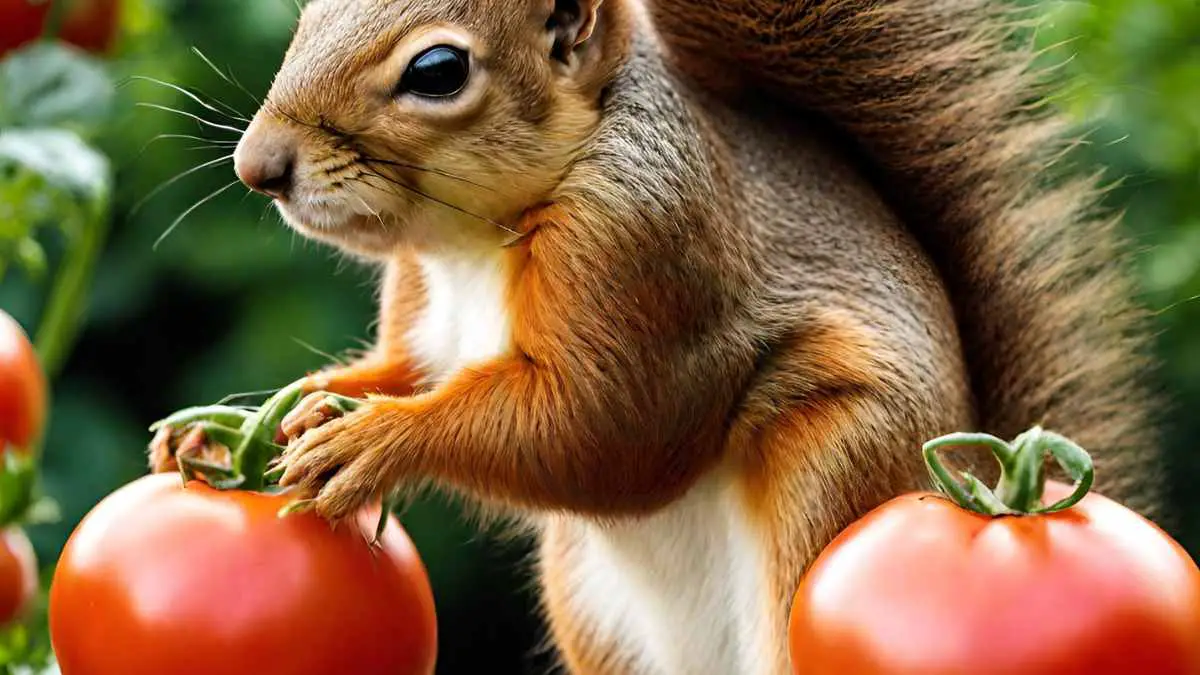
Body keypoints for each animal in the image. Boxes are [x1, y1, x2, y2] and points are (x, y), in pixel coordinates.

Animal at [152, 0, 1163, 672]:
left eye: (437, 71)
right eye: (307, 14)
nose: (257, 167)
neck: (473, 244)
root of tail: (993, 469)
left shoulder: (644, 247)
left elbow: (609, 430)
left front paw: (372, 440)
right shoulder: (424, 322)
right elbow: (398, 372)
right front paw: (246, 423)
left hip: (832, 486)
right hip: (589, 603)